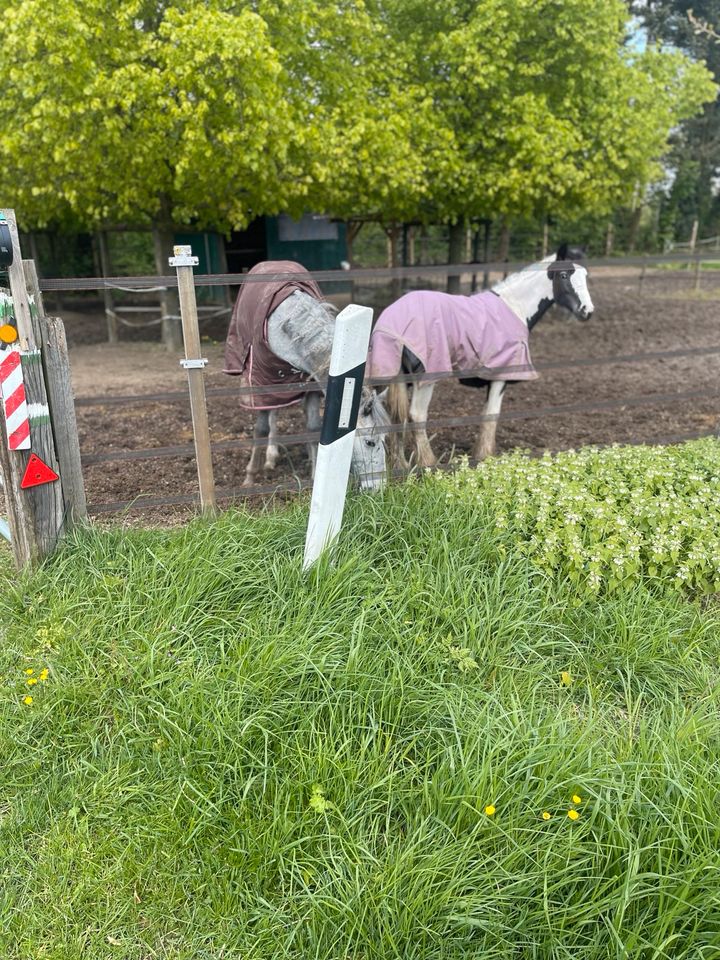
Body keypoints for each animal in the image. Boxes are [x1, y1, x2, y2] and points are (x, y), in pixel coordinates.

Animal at [224, 258, 388, 488]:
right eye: (370, 442)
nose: (379, 486)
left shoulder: (310, 383)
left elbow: (312, 426)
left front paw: (313, 472)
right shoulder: (261, 382)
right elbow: (261, 428)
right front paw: (250, 477)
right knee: (272, 415)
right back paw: (270, 457)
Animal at [368, 246, 592, 466]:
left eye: (585, 275)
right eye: (564, 275)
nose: (587, 311)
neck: (514, 308)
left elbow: (485, 414)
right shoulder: (501, 377)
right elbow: (492, 414)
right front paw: (485, 456)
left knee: (397, 415)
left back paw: (402, 465)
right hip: (425, 379)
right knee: (416, 415)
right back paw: (428, 463)